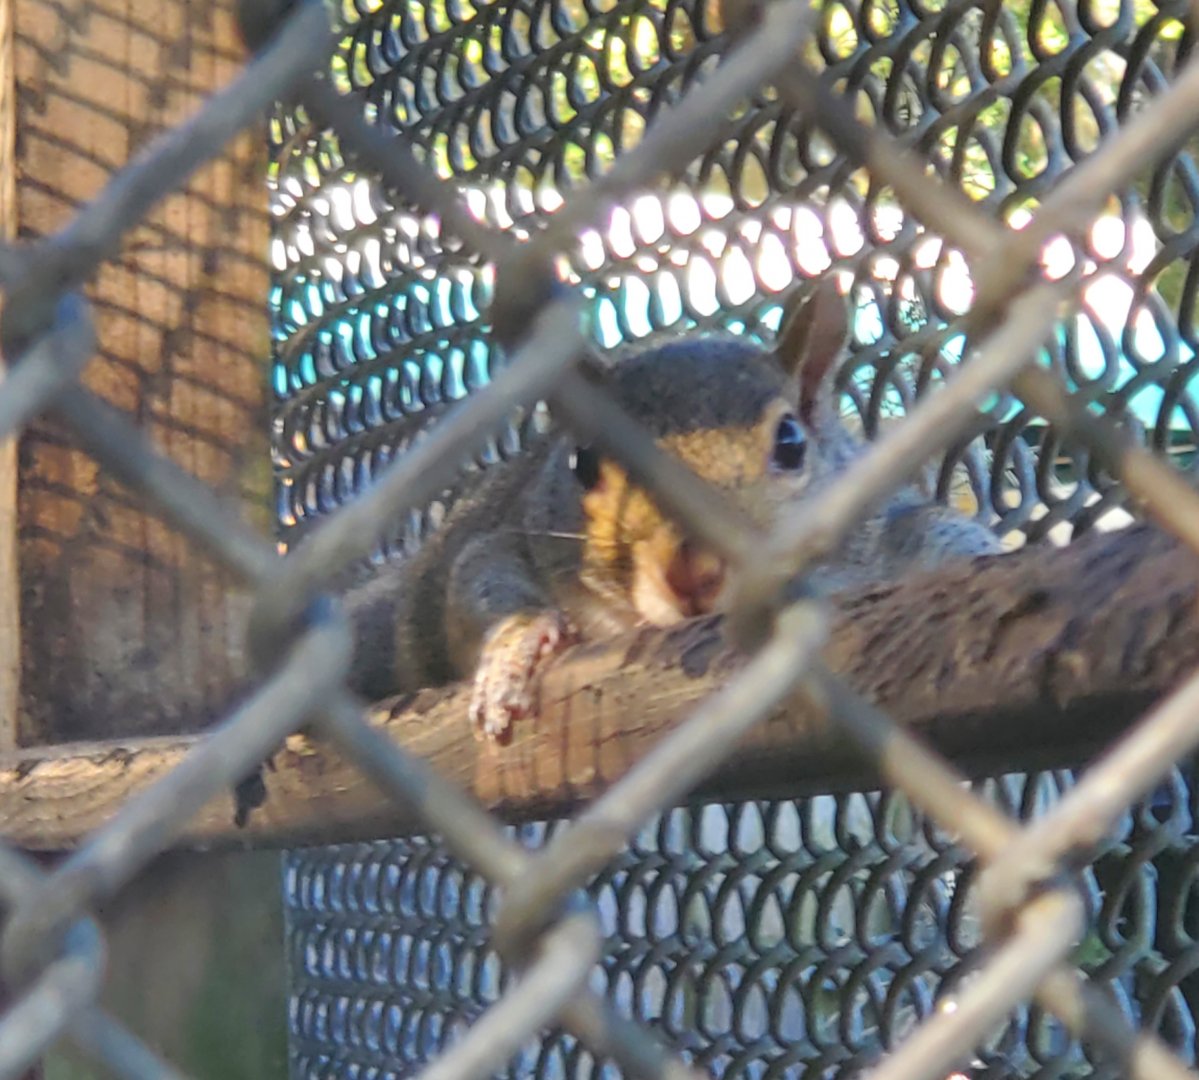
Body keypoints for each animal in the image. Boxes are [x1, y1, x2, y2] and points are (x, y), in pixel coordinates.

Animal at [343, 278, 1004, 741]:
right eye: (583, 462)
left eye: (792, 442)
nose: (693, 570)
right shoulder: (512, 537)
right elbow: (481, 578)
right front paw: (517, 646)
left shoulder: (882, 525)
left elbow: (941, 533)